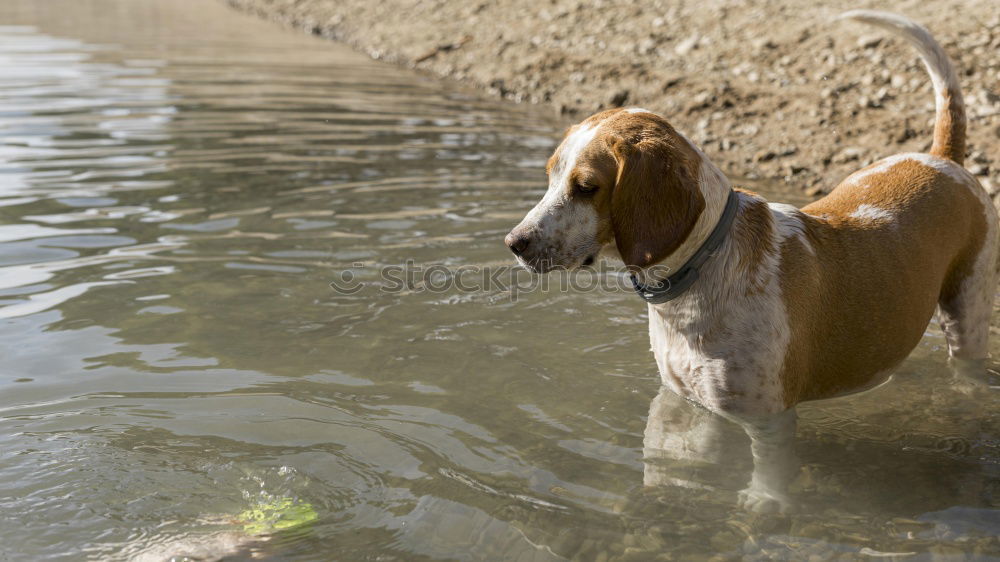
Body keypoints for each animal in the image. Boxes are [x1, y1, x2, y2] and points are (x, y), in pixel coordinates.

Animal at [508, 10, 1000, 510]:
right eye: (550, 176)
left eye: (586, 186)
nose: (514, 242)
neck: (698, 275)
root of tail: (941, 158)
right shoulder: (684, 400)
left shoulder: (770, 420)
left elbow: (768, 476)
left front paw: (763, 507)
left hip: (968, 314)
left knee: (968, 372)